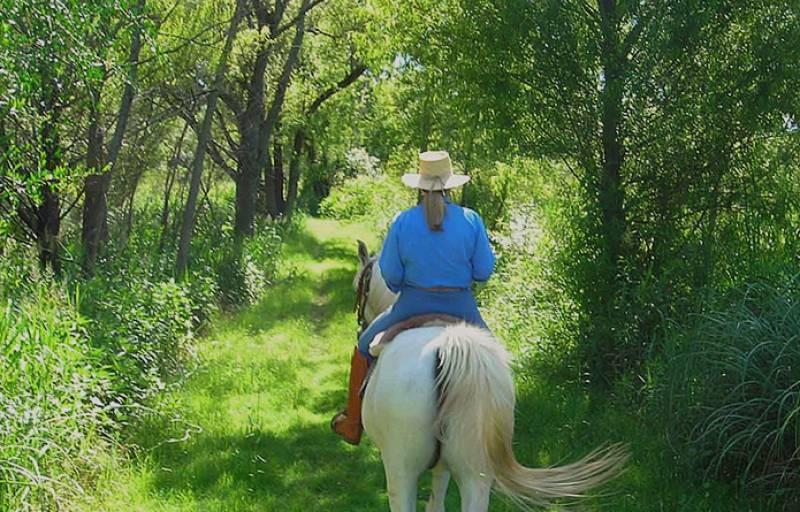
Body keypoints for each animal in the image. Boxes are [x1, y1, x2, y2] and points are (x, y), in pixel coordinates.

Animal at [354, 243, 628, 512]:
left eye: (358, 285)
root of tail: (449, 345)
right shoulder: (443, 467)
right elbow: (436, 503)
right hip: (475, 474)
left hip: (402, 470)